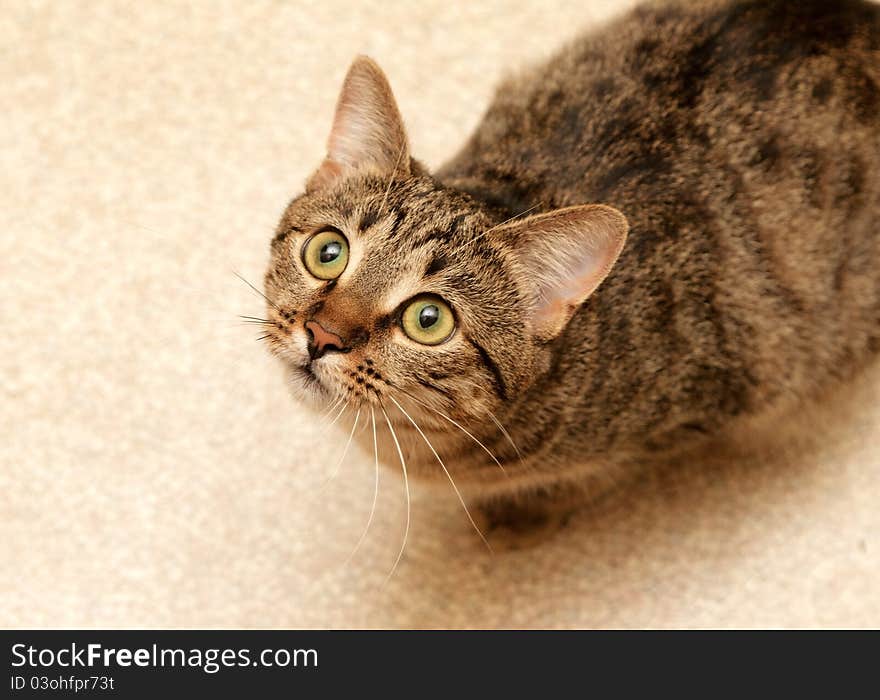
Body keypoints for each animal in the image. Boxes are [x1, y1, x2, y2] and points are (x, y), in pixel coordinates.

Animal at [262, 0, 880, 544]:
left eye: (429, 319)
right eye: (328, 252)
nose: (321, 334)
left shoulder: (693, 414)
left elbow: (584, 480)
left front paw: (522, 514)